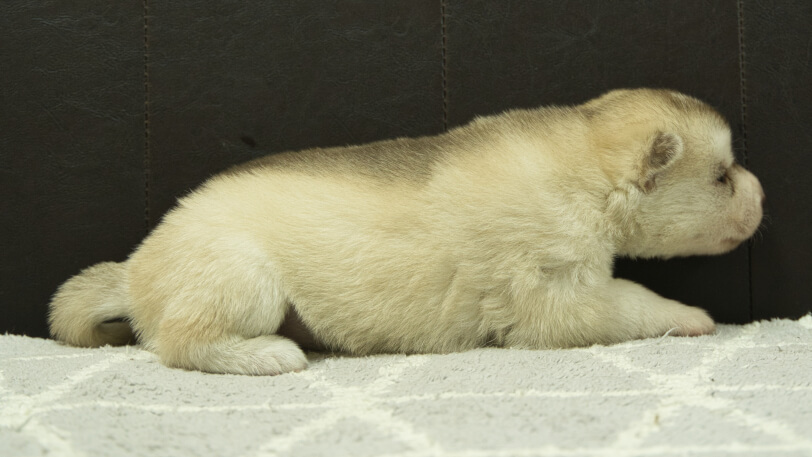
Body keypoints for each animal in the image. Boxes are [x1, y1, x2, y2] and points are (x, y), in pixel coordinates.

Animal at [47, 89, 764, 374]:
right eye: (722, 176)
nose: (763, 194)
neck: (586, 169)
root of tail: (134, 271)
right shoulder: (555, 299)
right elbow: (633, 300)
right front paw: (690, 314)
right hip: (241, 277)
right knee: (179, 341)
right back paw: (267, 355)